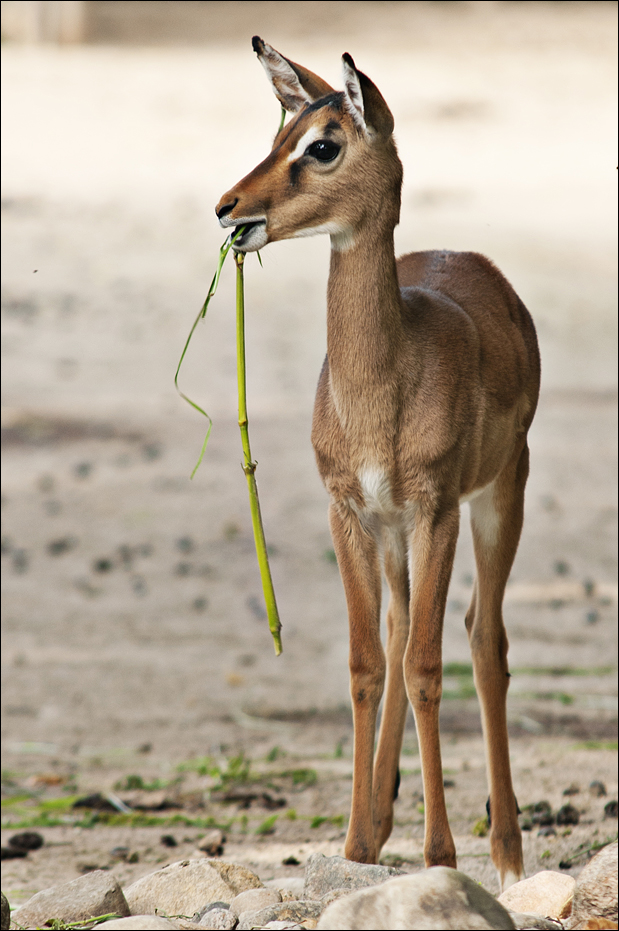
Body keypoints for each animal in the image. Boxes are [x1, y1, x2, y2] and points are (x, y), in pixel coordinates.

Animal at [216, 37, 540, 890]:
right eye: (278, 132)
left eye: (322, 144)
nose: (229, 207)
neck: (383, 383)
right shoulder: (351, 511)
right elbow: (367, 663)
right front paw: (357, 844)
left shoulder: (436, 507)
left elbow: (429, 666)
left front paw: (440, 854)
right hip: (395, 532)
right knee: (398, 631)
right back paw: (382, 820)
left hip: (500, 494)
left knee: (482, 639)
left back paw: (505, 849)